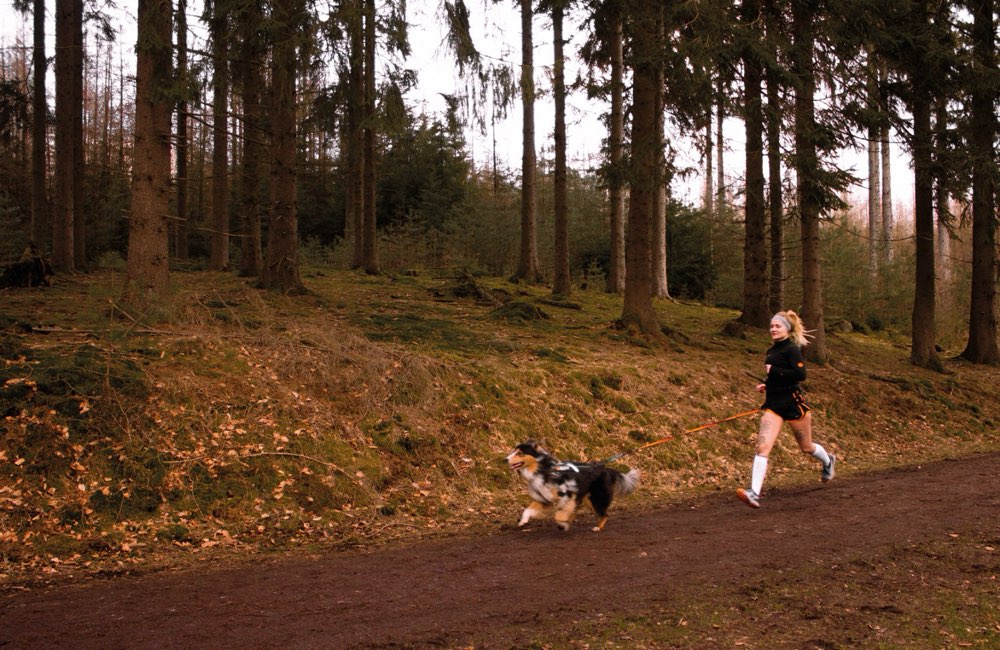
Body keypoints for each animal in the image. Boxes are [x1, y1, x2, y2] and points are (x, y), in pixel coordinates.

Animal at [508, 438, 640, 528]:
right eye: (514, 451)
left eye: (520, 453)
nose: (505, 459)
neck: (544, 470)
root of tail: (606, 469)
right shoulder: (544, 499)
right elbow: (528, 510)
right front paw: (523, 521)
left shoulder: (568, 495)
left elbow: (560, 514)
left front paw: (562, 522)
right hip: (587, 498)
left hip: (596, 498)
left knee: (604, 514)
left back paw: (597, 528)